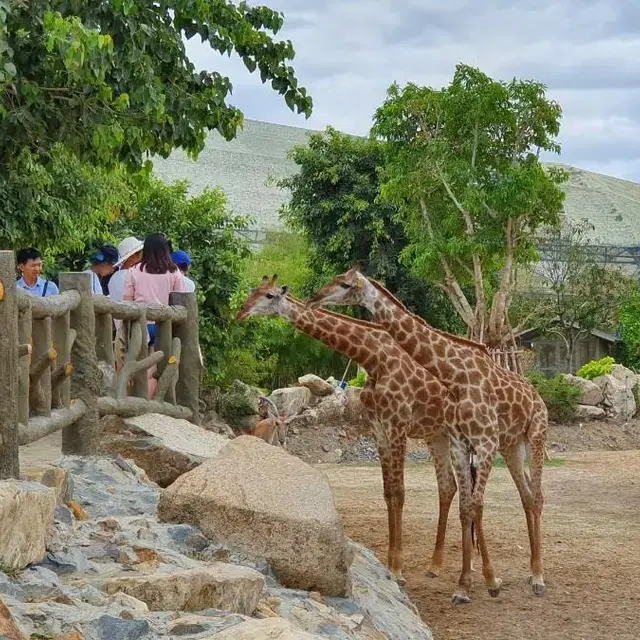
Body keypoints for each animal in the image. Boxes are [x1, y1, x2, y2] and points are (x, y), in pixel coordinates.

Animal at [235, 276, 476, 600]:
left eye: (269, 295)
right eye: (253, 291)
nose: (241, 312)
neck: (374, 356)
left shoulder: (397, 425)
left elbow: (400, 494)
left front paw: (398, 571)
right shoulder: (379, 429)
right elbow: (389, 494)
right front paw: (390, 566)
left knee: (472, 493)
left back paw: (471, 576)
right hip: (437, 434)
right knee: (449, 487)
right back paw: (436, 565)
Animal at [308, 268, 548, 604]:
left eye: (344, 284)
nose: (315, 297)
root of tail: (537, 396)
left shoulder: (409, 428)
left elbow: (449, 500)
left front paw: (400, 570)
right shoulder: (393, 431)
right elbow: (435, 500)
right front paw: (463, 584)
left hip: (534, 436)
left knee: (535, 496)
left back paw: (538, 577)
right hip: (504, 445)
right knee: (507, 494)